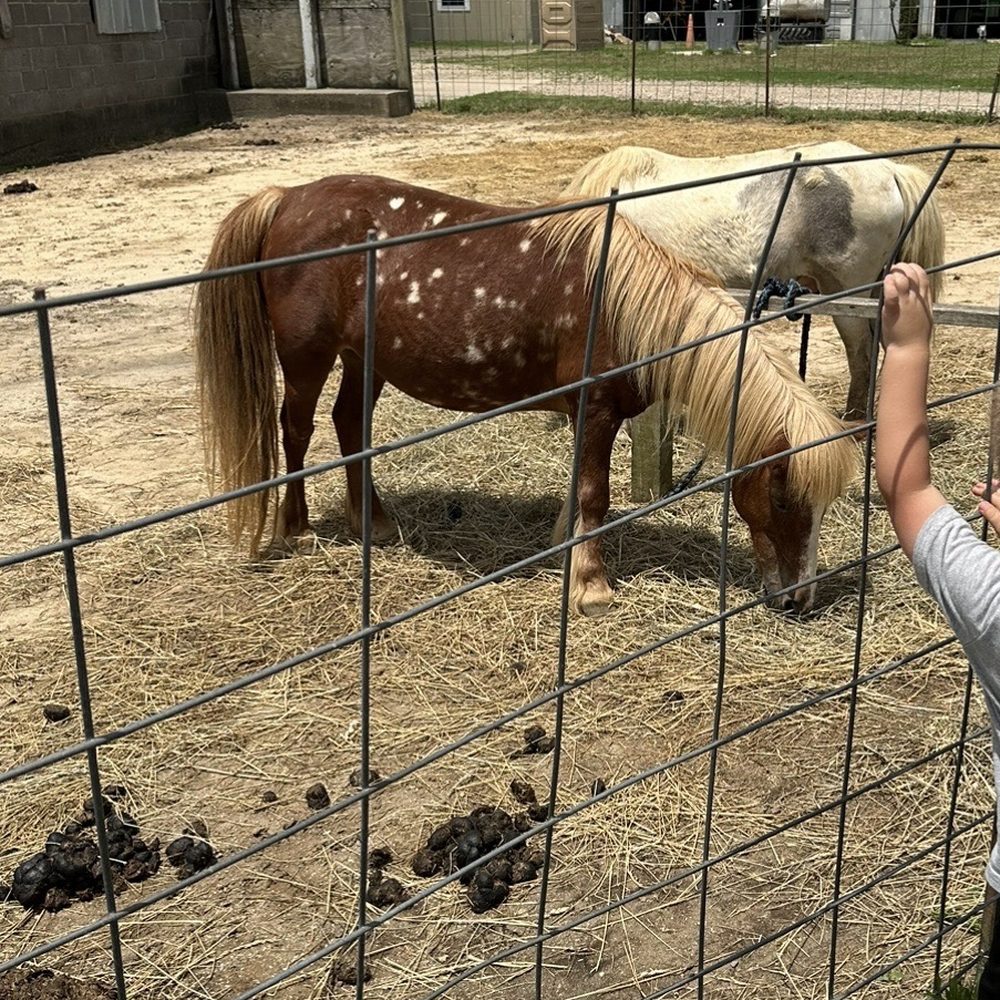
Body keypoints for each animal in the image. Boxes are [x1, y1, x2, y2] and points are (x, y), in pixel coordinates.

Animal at [194, 174, 859, 617]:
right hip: (307, 356)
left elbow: (577, 493)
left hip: (365, 359)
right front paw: (591, 587)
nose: (800, 600)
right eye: (783, 497)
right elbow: (593, 494)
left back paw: (374, 522)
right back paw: (297, 532)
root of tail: (287, 197)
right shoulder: (598, 411)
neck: (622, 305)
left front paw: (562, 554)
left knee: (349, 424)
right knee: (297, 428)